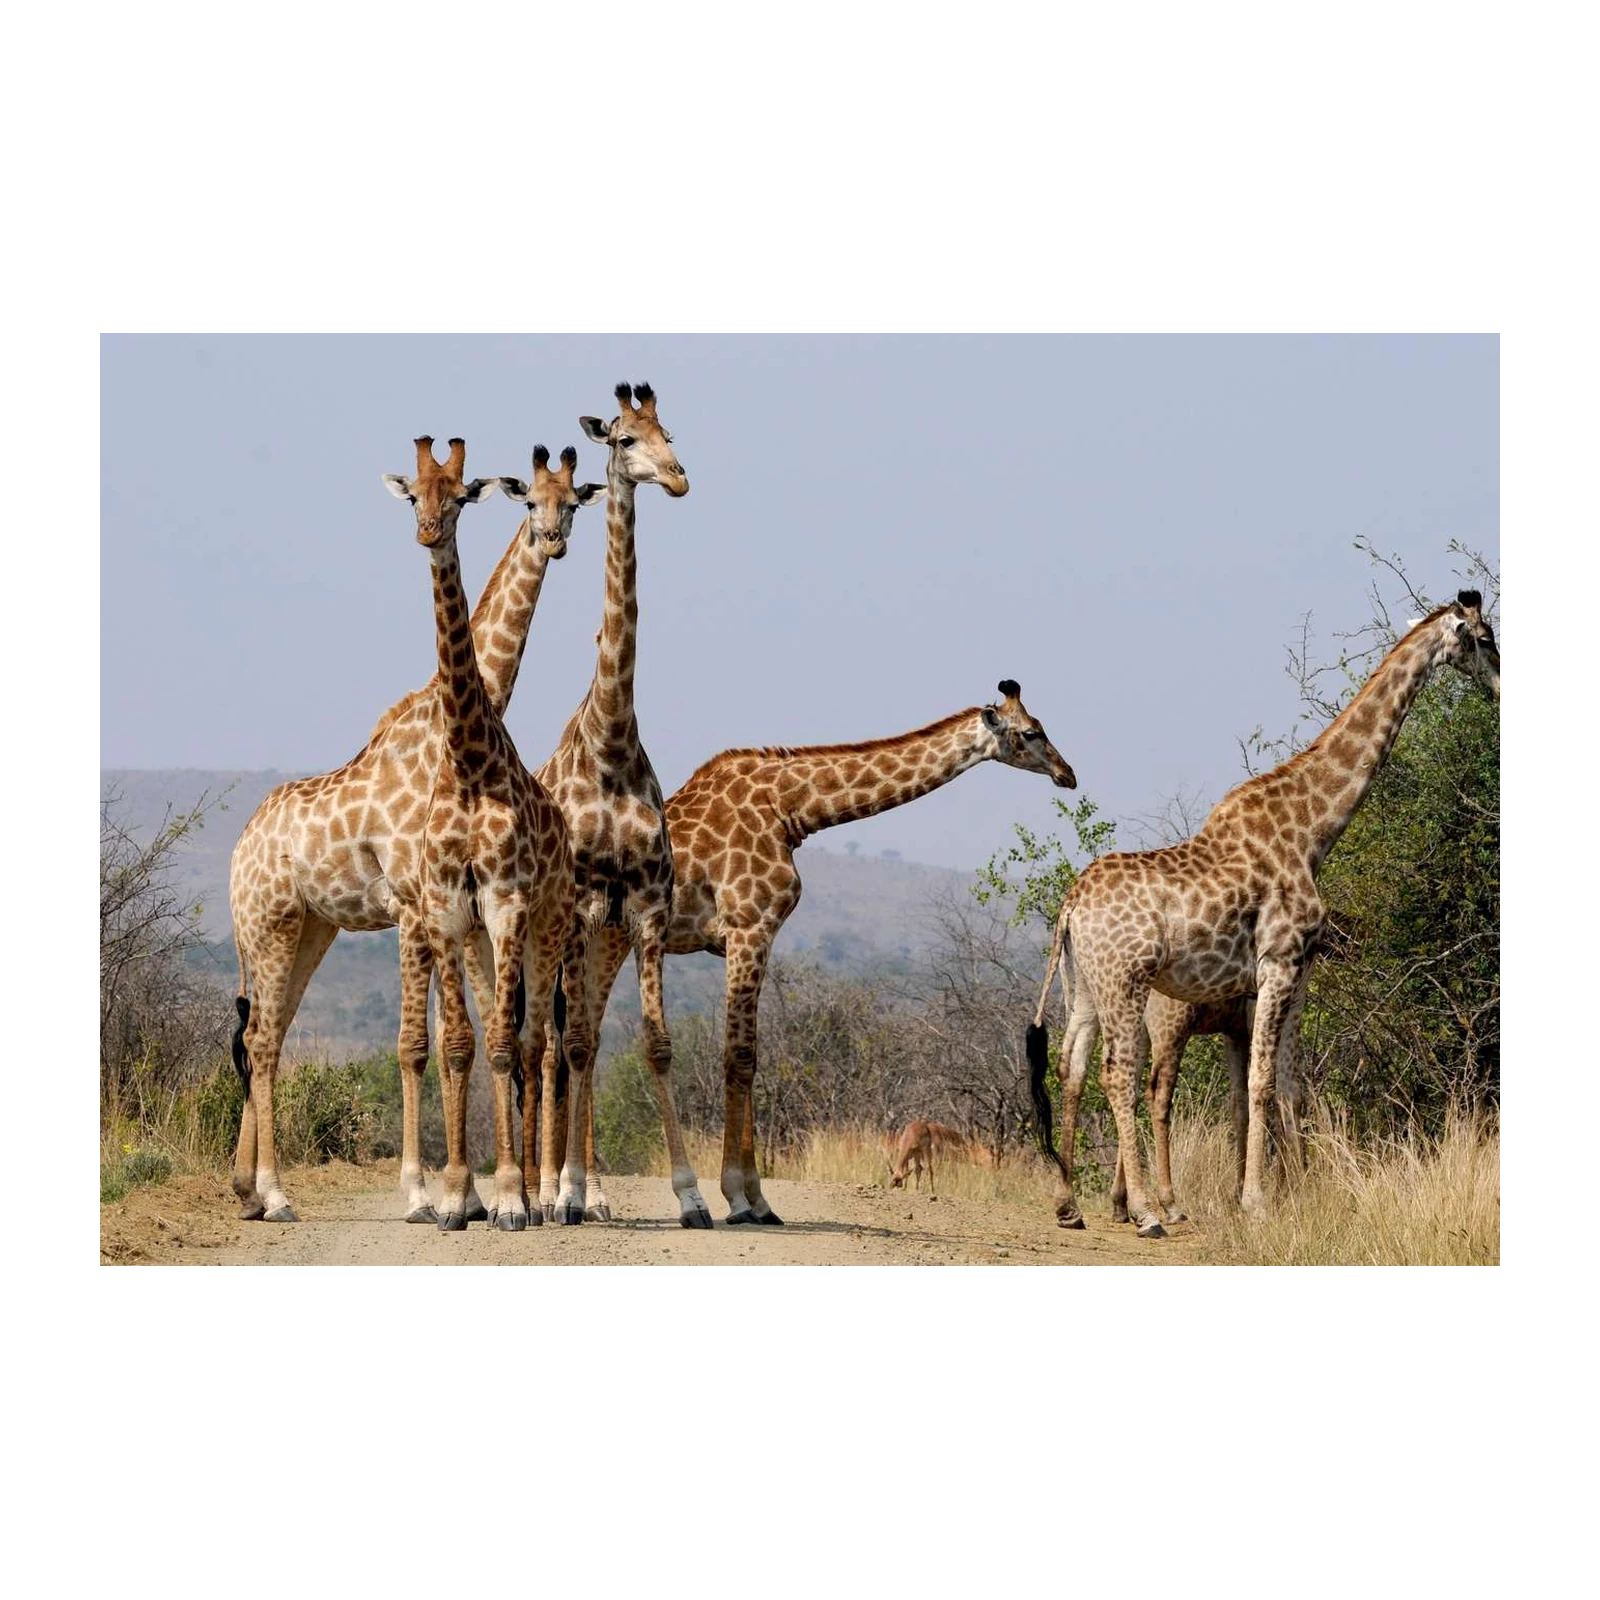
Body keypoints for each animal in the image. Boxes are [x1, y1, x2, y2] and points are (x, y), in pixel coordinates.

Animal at [226, 440, 600, 1224]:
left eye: (573, 501)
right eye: (530, 502)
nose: (553, 539)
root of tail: (239, 848)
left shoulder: (442, 908)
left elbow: (455, 1037)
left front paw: (468, 1193)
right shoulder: (411, 903)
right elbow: (415, 1045)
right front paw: (425, 1193)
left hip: (308, 927)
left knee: (267, 1031)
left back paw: (249, 1188)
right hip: (267, 924)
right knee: (262, 1038)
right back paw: (273, 1192)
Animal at [565, 681, 1075, 1225]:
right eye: (1032, 732)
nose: (1068, 774)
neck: (791, 811)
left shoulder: (752, 938)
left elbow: (751, 1057)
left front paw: (759, 1201)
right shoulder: (749, 929)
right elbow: (739, 1057)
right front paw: (739, 1198)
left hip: (608, 937)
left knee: (586, 1039)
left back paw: (590, 1198)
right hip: (608, 937)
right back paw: (586, 1197)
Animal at [1026, 592, 1502, 1235]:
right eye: (1484, 636)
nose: (1503, 683)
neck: (1312, 830)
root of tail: (1071, 903)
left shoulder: (1296, 973)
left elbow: (1287, 1083)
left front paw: (1290, 1192)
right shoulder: (1279, 960)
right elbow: (1260, 1079)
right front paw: (1256, 1200)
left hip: (1083, 986)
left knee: (1072, 1067)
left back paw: (1069, 1203)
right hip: (1126, 981)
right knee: (1120, 1075)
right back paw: (1148, 1210)